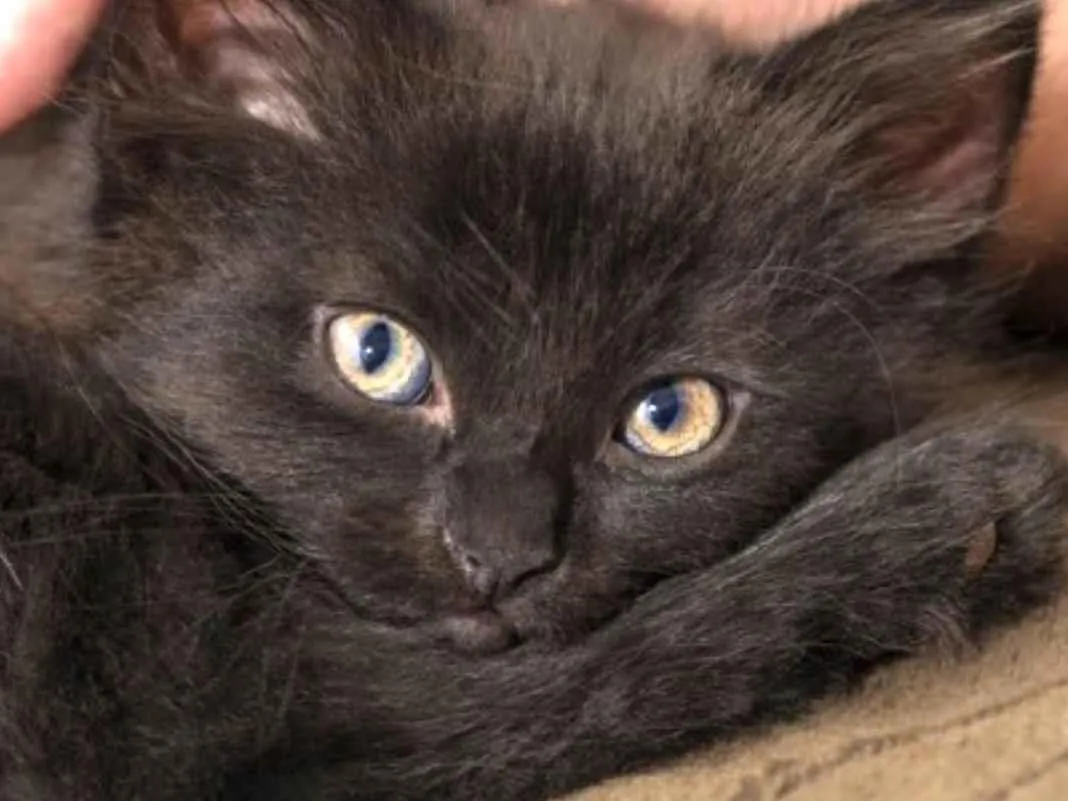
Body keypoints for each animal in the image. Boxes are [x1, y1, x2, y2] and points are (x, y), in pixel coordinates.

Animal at [0, 0, 1065, 799]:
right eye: (376, 351)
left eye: (669, 416)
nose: (498, 554)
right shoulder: (201, 715)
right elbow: (616, 671)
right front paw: (936, 518)